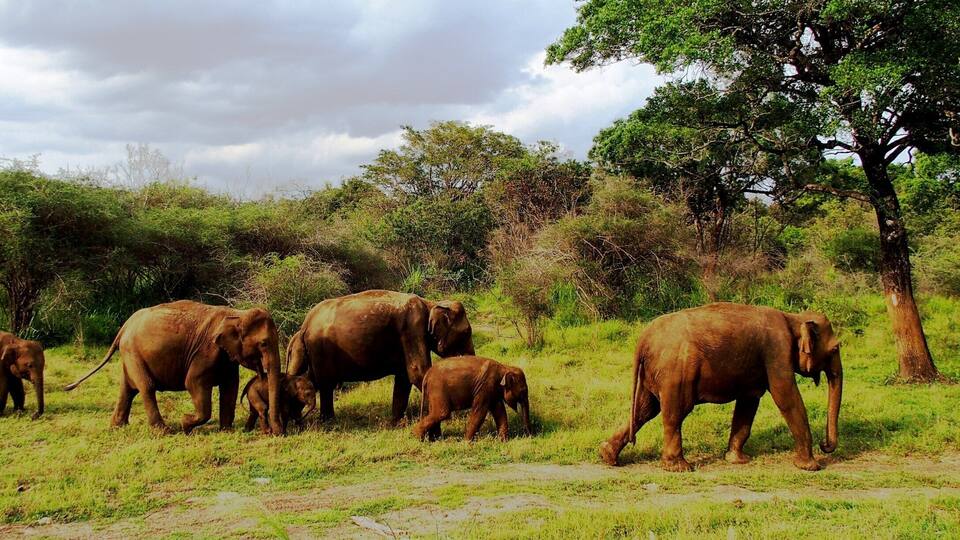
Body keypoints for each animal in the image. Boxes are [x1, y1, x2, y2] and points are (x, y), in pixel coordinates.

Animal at [65, 300, 286, 435]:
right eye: (264, 343)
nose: (277, 433)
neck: (236, 313)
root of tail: (125, 326)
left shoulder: (226, 357)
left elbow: (230, 386)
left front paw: (226, 431)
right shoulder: (205, 352)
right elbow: (193, 383)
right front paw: (185, 423)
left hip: (129, 355)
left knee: (127, 389)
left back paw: (118, 427)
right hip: (133, 353)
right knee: (146, 387)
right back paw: (164, 431)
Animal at [286, 289, 475, 424]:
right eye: (466, 332)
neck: (430, 304)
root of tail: (305, 325)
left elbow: (404, 378)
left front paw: (397, 422)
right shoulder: (413, 329)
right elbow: (418, 372)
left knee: (311, 380)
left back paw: (298, 420)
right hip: (321, 351)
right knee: (325, 384)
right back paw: (327, 422)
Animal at [599, 302, 842, 472]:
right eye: (835, 348)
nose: (824, 444)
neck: (793, 318)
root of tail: (643, 340)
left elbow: (748, 402)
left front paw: (738, 460)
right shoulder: (777, 352)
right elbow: (786, 396)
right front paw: (811, 467)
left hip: (655, 373)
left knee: (645, 409)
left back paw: (607, 456)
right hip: (675, 373)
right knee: (674, 413)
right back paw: (680, 468)